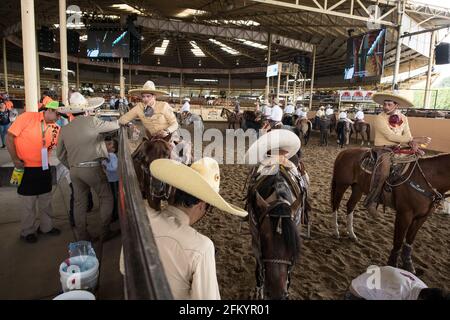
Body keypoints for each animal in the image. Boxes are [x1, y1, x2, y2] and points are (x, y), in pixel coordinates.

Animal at [246, 165, 306, 300]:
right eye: (262, 238)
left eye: (294, 241)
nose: (276, 294)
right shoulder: (255, 244)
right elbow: (259, 269)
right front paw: (258, 291)